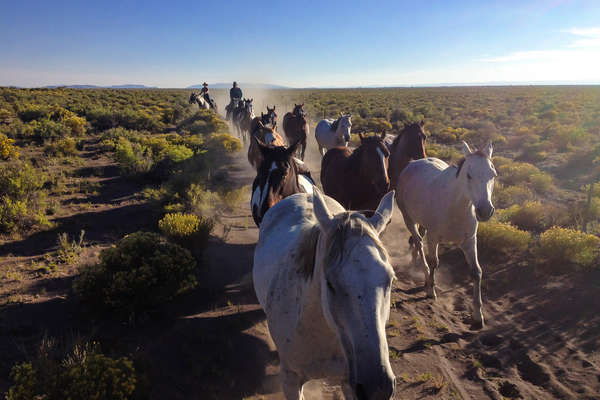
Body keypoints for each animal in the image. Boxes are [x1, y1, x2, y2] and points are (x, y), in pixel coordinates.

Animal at [394, 141, 496, 328]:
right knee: (418, 242)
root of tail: (413, 164)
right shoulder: (433, 238)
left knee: (417, 241)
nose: (485, 211)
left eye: (493, 174)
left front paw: (478, 315)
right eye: (469, 175)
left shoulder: (469, 241)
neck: (456, 207)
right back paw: (423, 273)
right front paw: (430, 290)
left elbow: (476, 272)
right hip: (408, 218)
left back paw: (414, 263)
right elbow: (434, 262)